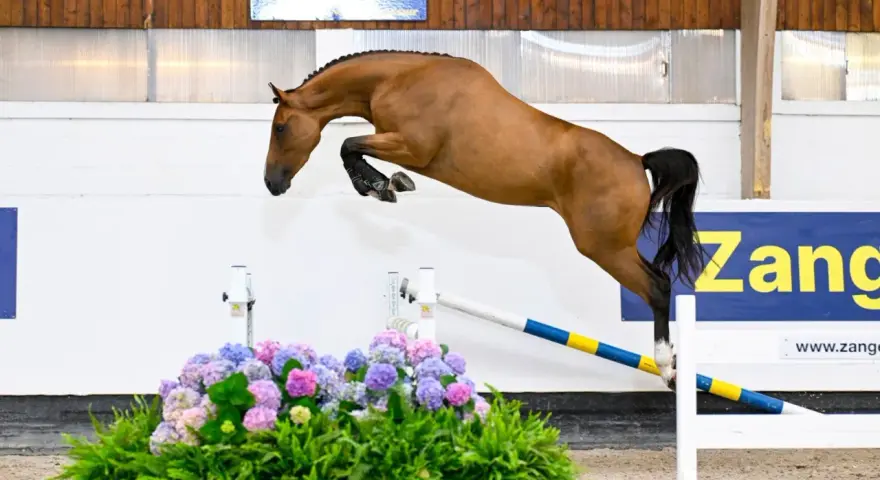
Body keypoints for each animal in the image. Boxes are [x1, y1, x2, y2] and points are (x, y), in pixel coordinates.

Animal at [262, 50, 707, 391]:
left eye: (281, 128)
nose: (272, 183)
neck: (401, 79)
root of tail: (637, 161)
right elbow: (351, 146)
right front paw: (384, 184)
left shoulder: (411, 146)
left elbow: (348, 144)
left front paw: (382, 185)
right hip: (612, 247)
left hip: (604, 247)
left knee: (658, 287)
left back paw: (666, 366)